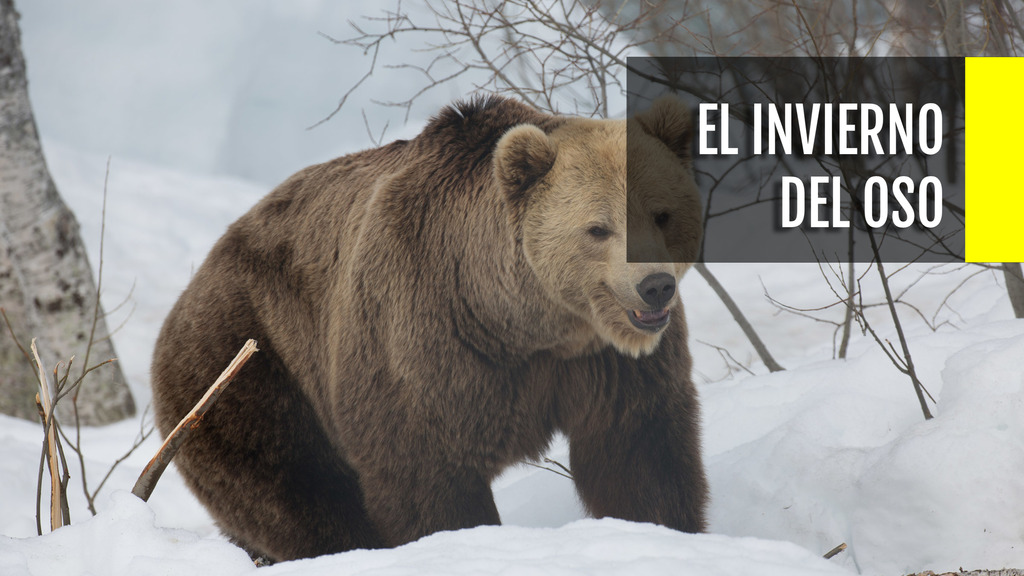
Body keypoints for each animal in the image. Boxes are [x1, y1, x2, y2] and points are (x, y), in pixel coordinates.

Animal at [150, 95, 707, 562]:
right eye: (598, 227)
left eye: (661, 214)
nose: (655, 286)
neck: (525, 324)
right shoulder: (426, 339)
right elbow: (424, 470)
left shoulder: (607, 365)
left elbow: (639, 453)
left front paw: (661, 530)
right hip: (252, 368)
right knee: (300, 492)